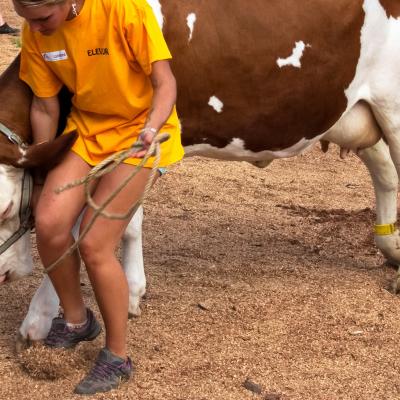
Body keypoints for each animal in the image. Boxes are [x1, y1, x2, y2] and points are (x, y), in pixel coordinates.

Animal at [0, 0, 400, 346]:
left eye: (5, 209)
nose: (2, 275)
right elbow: (117, 221)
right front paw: (129, 292)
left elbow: (86, 224)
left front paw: (41, 316)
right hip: (354, 112)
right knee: (386, 173)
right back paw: (391, 247)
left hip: (391, 106)